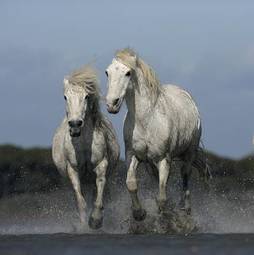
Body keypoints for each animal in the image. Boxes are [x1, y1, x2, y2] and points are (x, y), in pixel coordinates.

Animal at [52, 65, 120, 229]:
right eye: (65, 97)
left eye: (86, 97)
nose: (75, 125)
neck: (83, 145)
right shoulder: (73, 170)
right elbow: (80, 202)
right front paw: (83, 225)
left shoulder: (101, 166)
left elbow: (99, 195)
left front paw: (95, 220)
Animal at [105, 48, 210, 220]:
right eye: (107, 72)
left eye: (128, 73)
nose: (111, 104)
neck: (146, 121)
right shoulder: (133, 155)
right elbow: (131, 184)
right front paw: (139, 213)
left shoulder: (164, 159)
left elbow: (162, 197)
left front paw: (164, 216)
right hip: (151, 163)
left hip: (189, 152)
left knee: (185, 174)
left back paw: (185, 208)